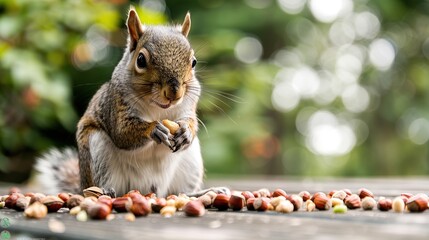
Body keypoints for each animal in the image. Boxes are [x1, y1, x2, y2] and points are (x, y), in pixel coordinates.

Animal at [35, 8, 227, 198]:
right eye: (140, 60)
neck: (158, 108)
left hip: (190, 161)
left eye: (193, 62)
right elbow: (122, 132)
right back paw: (105, 192)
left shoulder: (187, 106)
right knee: (102, 188)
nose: (174, 93)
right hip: (98, 151)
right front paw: (153, 129)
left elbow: (191, 120)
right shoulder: (116, 105)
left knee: (181, 193)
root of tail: (148, 191)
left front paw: (186, 131)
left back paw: (206, 192)